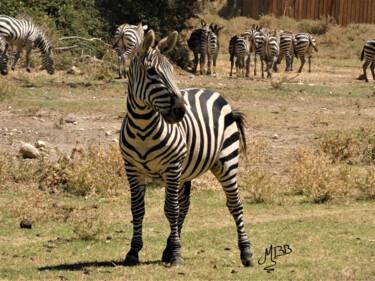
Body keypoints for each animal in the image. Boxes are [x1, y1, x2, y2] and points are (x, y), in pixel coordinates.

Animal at [120, 29, 256, 266]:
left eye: (172, 71)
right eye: (151, 72)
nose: (180, 111)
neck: (143, 128)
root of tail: (213, 92)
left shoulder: (172, 167)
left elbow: (170, 209)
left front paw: (176, 254)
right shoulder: (132, 169)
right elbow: (137, 209)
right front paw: (134, 251)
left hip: (226, 162)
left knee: (234, 204)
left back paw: (246, 252)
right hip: (186, 171)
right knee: (185, 204)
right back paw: (167, 248)